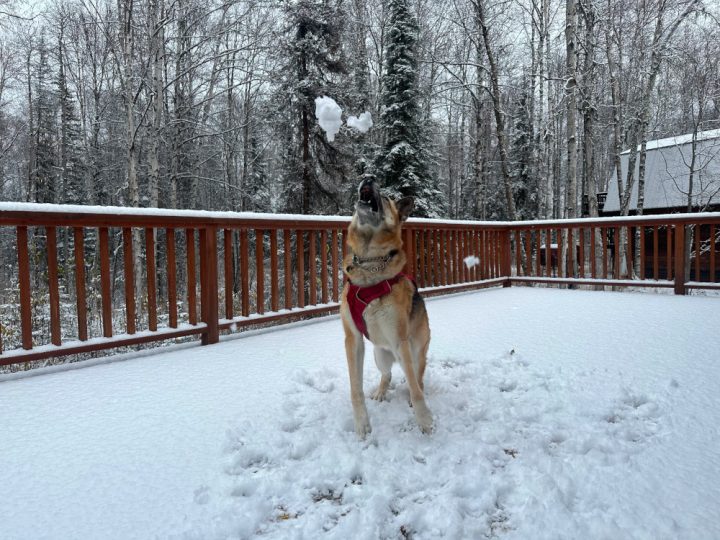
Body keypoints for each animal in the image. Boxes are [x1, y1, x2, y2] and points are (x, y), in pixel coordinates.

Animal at [342, 179, 436, 436]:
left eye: (385, 197)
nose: (368, 177)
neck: (370, 265)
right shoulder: (353, 340)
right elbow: (355, 389)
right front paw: (362, 424)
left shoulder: (398, 339)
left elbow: (414, 386)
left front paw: (424, 419)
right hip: (379, 354)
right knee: (388, 373)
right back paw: (381, 391)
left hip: (414, 351)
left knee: (417, 378)